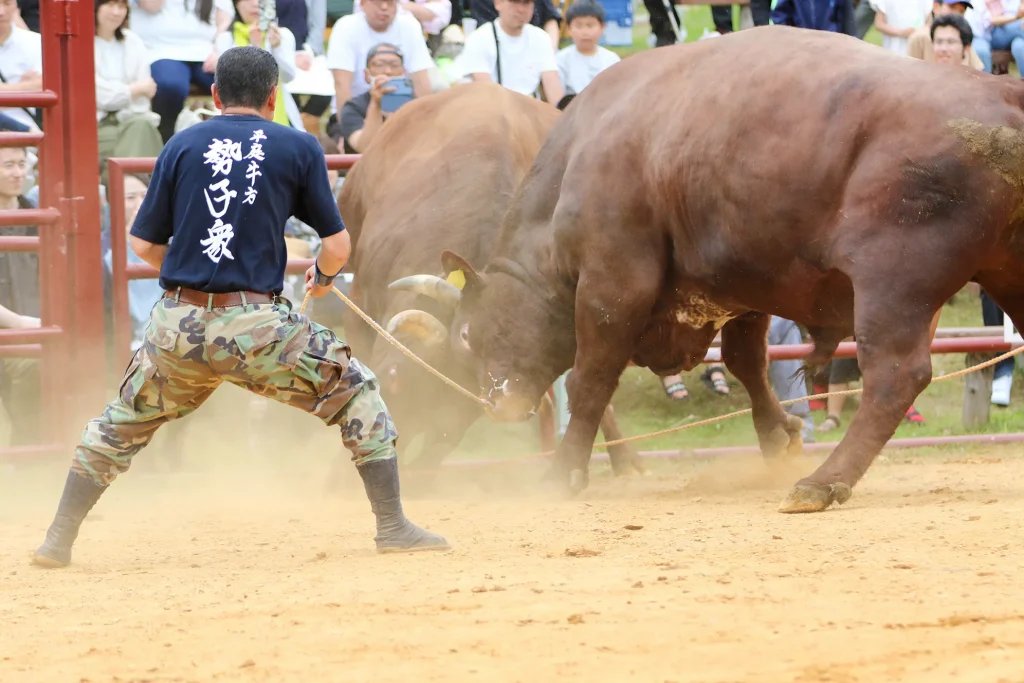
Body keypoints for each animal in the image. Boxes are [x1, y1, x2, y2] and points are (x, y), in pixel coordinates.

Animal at [411, 28, 1024, 511]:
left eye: (465, 335)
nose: (485, 404)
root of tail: (998, 90)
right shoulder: (741, 287)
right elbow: (746, 361)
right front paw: (778, 435)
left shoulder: (614, 283)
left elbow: (591, 377)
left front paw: (563, 470)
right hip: (1001, 274)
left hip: (892, 288)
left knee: (896, 376)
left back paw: (824, 482)